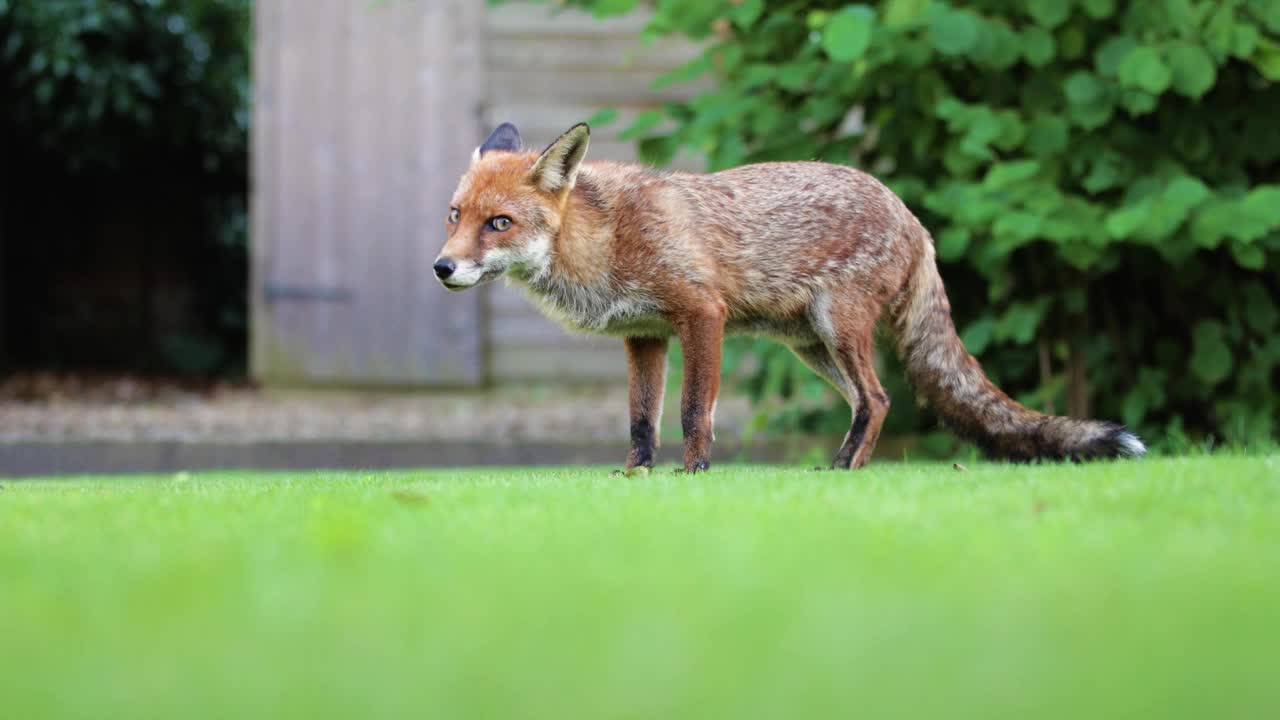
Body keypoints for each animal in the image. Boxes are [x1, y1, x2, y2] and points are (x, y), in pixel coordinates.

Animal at [435, 121, 1146, 471]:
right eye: (455, 214)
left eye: (500, 223)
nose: (442, 267)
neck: (604, 239)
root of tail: (912, 217)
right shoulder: (645, 336)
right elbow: (641, 420)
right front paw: (635, 476)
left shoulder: (702, 314)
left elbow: (693, 412)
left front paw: (693, 473)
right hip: (813, 347)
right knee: (868, 402)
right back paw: (845, 466)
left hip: (838, 327)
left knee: (879, 398)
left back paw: (844, 471)